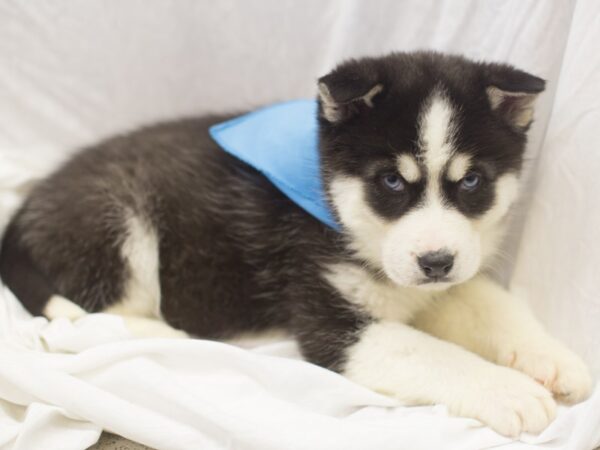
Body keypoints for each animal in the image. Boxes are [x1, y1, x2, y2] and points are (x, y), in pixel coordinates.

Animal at [0, 51, 592, 436]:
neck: (335, 209)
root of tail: (28, 204)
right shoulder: (329, 317)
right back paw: (165, 333)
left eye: (471, 181)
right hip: (117, 219)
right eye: (391, 181)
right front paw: (509, 389)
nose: (436, 261)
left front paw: (553, 359)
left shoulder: (441, 278)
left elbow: (490, 303)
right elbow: (431, 352)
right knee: (108, 311)